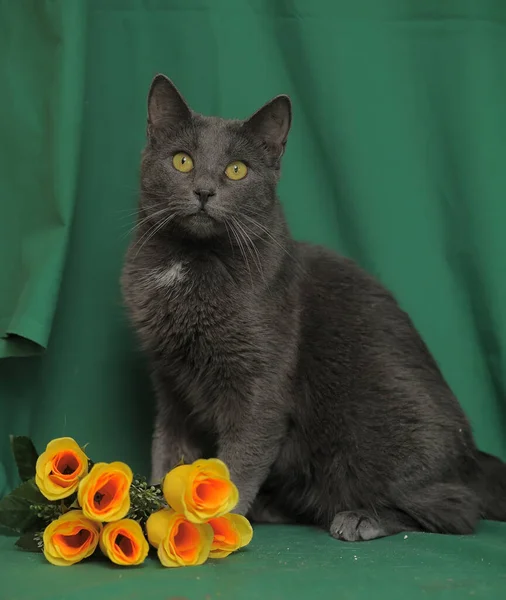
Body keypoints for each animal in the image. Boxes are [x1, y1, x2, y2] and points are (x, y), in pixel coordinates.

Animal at [122, 74, 506, 540]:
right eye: (182, 161)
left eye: (237, 169)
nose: (203, 191)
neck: (192, 263)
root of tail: (474, 458)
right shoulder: (171, 382)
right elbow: (170, 451)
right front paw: (160, 513)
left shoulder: (262, 383)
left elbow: (240, 460)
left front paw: (213, 527)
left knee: (455, 509)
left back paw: (360, 518)